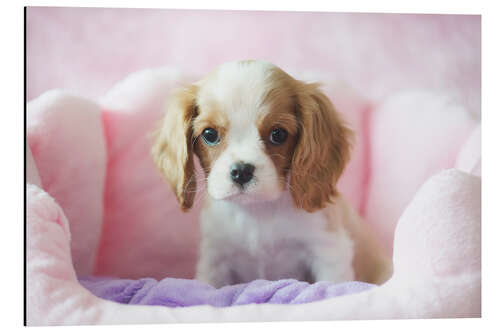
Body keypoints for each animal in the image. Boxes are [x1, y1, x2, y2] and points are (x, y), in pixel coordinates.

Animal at [152, 59, 390, 286]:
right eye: (209, 134)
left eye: (278, 134)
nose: (241, 171)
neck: (258, 212)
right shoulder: (214, 259)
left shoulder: (329, 251)